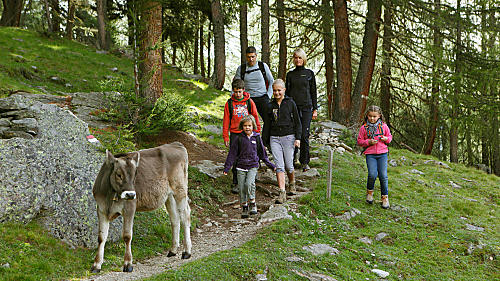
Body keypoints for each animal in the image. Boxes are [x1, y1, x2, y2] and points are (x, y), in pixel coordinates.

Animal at [90, 142, 191, 272]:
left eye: (135, 175)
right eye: (119, 175)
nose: (131, 194)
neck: (109, 196)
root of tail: (176, 144)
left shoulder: (129, 208)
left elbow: (127, 236)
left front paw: (128, 264)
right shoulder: (101, 209)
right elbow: (101, 237)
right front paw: (96, 265)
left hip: (180, 189)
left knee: (185, 216)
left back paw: (186, 252)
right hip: (169, 196)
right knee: (174, 219)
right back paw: (173, 250)